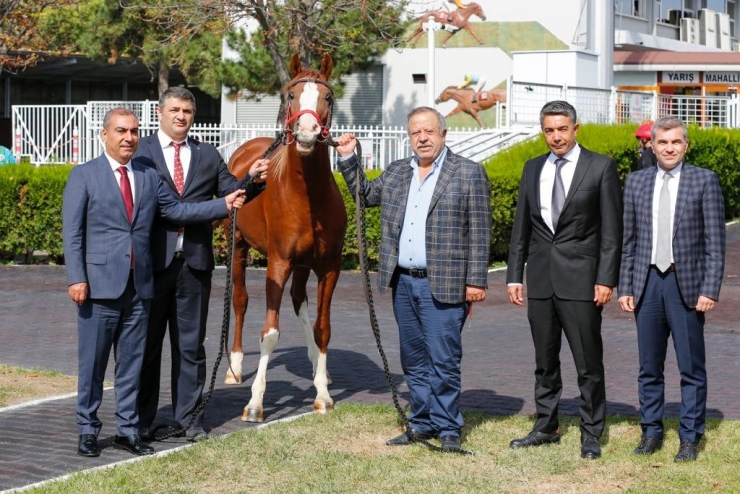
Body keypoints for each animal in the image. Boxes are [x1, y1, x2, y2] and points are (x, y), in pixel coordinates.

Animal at [224, 54, 348, 422]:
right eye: (291, 95)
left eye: (328, 97)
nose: (307, 134)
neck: (306, 196)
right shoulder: (278, 262)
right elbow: (269, 333)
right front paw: (255, 403)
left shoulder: (329, 267)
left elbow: (323, 327)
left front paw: (323, 394)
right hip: (237, 245)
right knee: (240, 300)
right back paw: (236, 367)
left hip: (303, 265)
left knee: (298, 301)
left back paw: (318, 367)